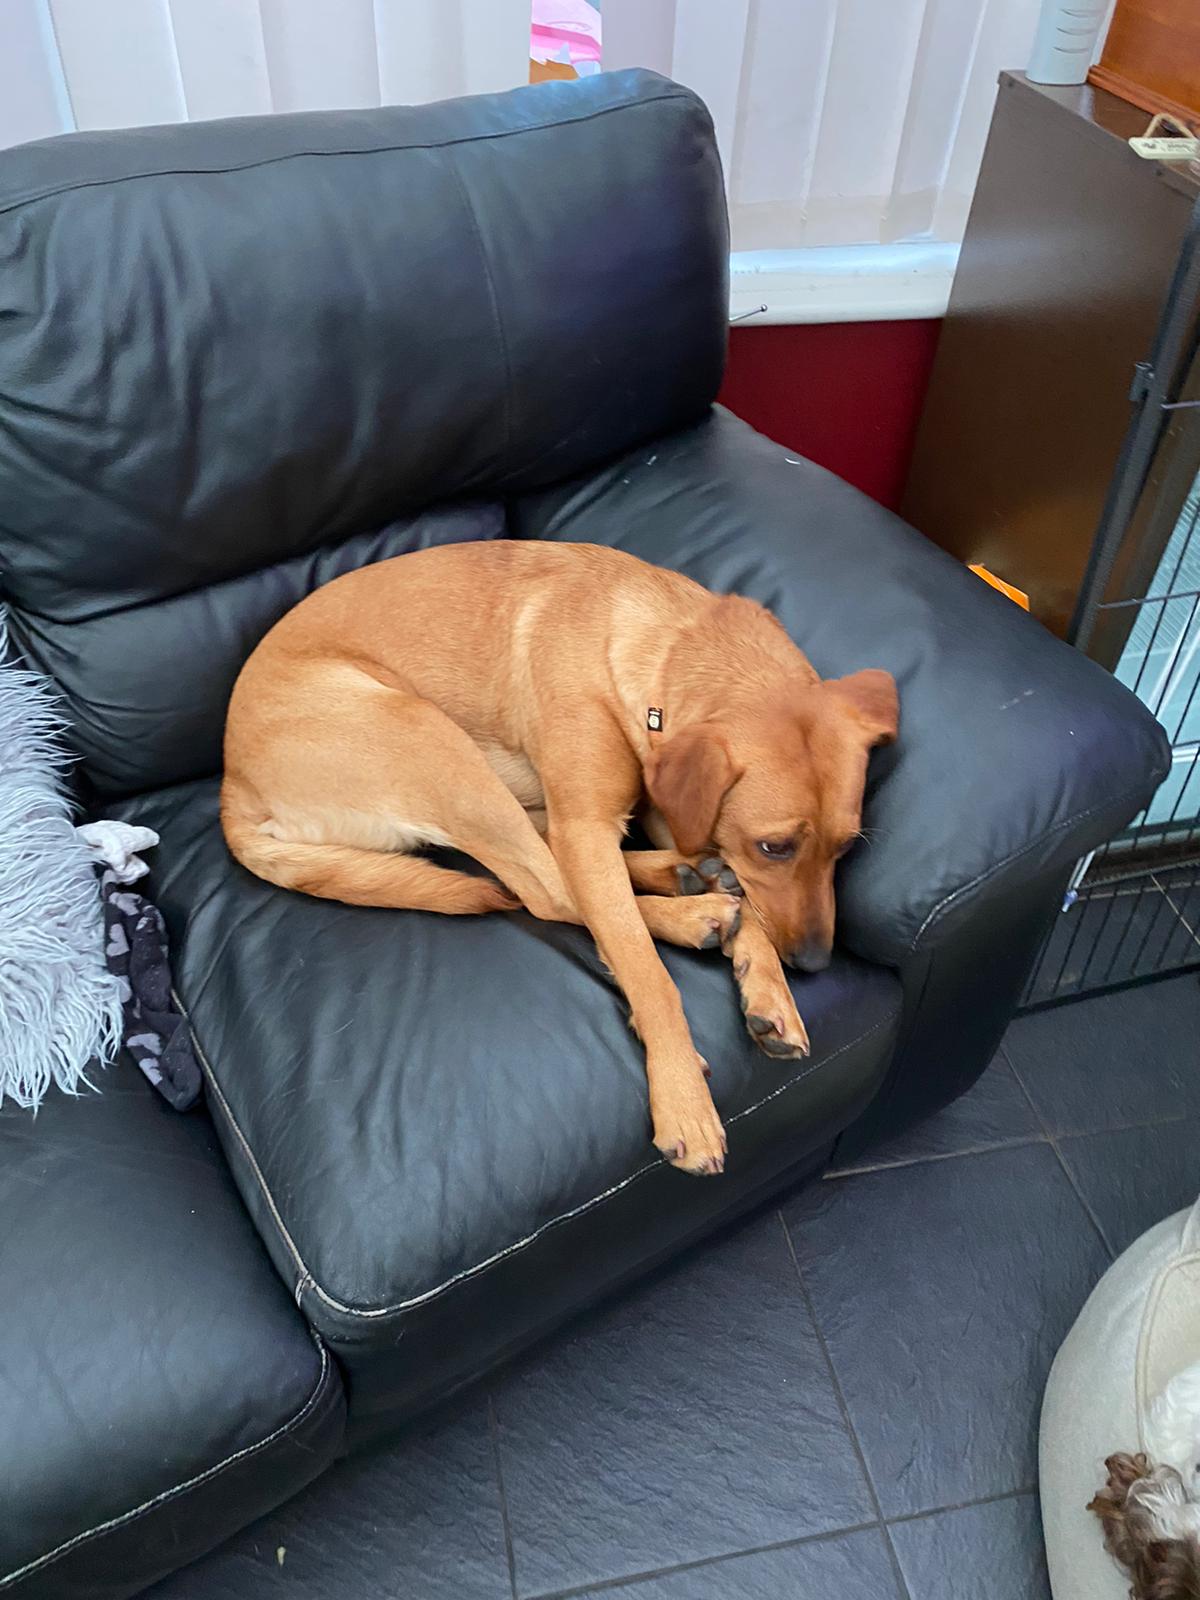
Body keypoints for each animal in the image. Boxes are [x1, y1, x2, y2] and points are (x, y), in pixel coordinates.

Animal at [220, 537, 896, 1177]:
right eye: (774, 846)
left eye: (844, 847)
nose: (814, 962)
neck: (657, 646)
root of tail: (231, 786)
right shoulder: (589, 826)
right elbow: (646, 970)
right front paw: (683, 1098)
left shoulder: (652, 812)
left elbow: (719, 890)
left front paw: (768, 988)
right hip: (431, 738)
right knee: (545, 893)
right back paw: (693, 912)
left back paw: (692, 883)